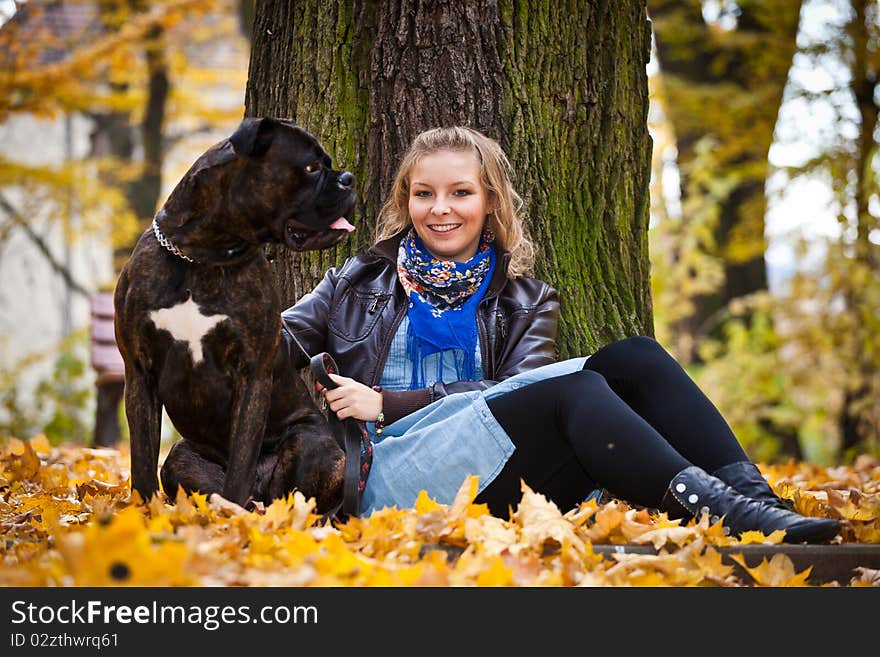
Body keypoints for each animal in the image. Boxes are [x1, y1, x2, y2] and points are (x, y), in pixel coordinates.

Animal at [113, 118, 354, 512]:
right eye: (310, 168)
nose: (347, 178)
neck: (202, 258)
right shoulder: (139, 372)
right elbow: (142, 460)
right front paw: (144, 513)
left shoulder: (252, 374)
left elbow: (241, 462)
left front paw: (232, 517)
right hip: (180, 456)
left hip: (314, 442)